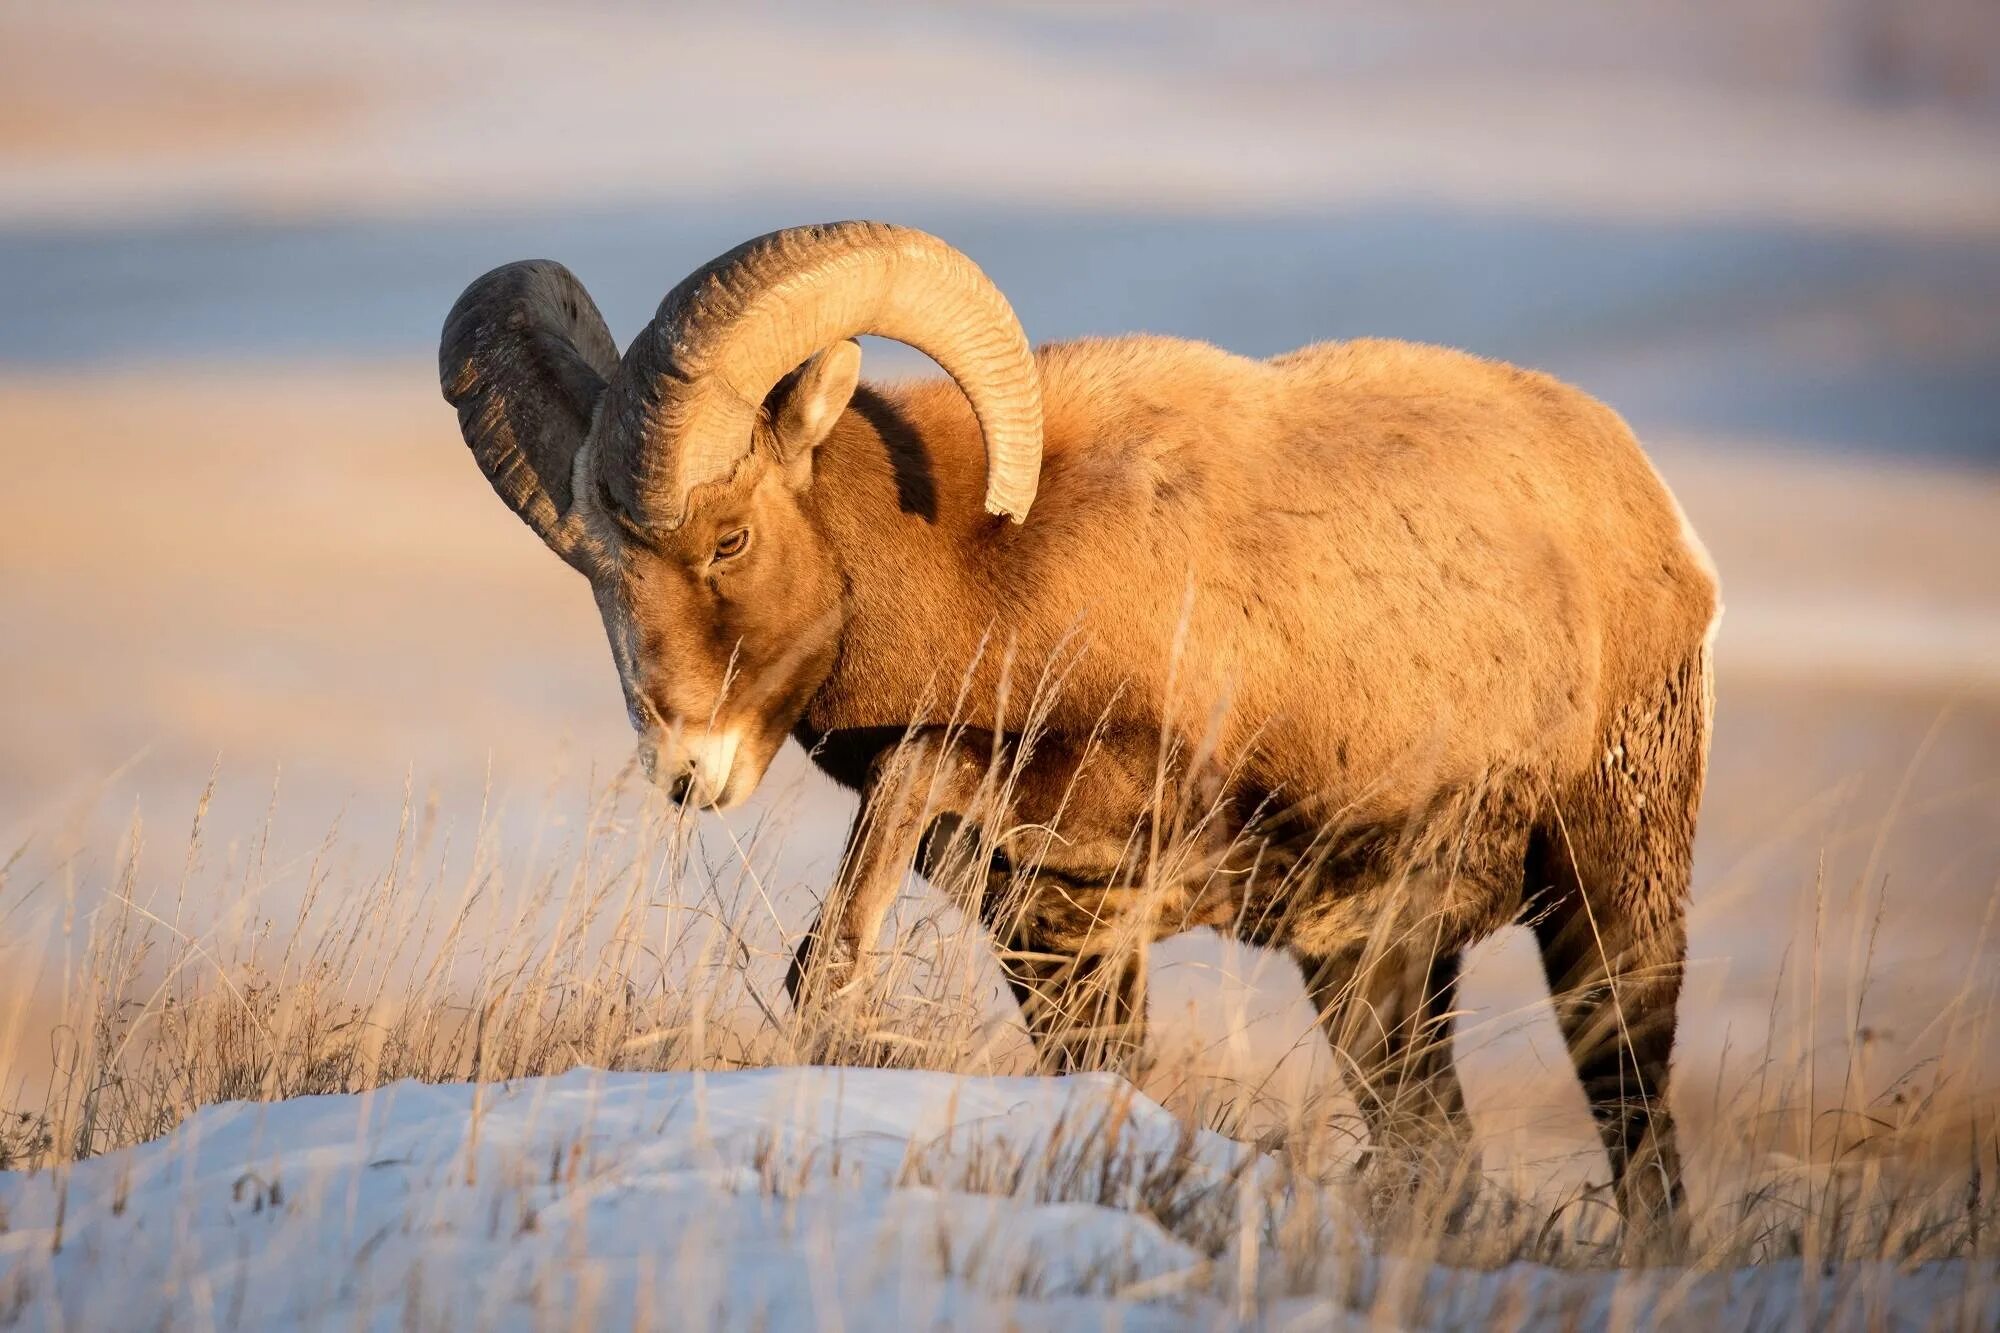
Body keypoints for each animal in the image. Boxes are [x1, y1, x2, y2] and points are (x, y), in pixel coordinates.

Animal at [438, 220, 1720, 1232]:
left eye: (729, 539)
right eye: (598, 572)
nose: (685, 769)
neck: (986, 564)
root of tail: (1659, 524)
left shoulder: (1108, 810)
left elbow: (907, 795)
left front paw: (842, 991)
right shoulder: (1054, 935)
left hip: (1608, 911)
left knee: (1635, 1129)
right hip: (1373, 970)